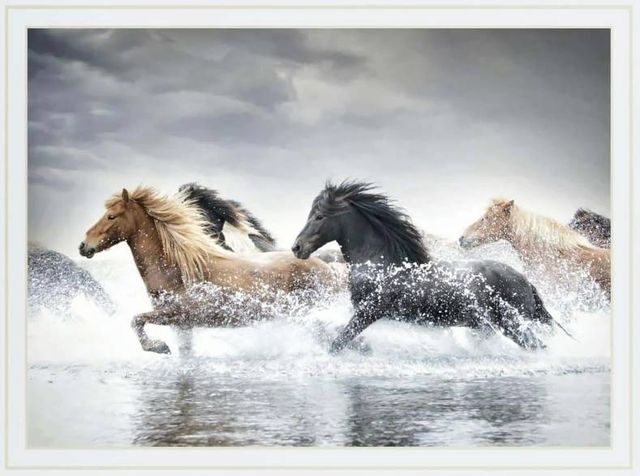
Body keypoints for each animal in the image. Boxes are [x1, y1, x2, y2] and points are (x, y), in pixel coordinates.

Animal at [79, 186, 342, 354]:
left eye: (111, 216)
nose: (83, 246)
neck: (177, 269)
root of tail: (329, 267)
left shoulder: (176, 314)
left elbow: (136, 321)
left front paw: (158, 347)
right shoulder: (183, 326)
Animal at [291, 181, 565, 353]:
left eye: (319, 216)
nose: (296, 247)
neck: (381, 265)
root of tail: (526, 281)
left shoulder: (370, 311)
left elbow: (338, 342)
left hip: (512, 322)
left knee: (536, 346)